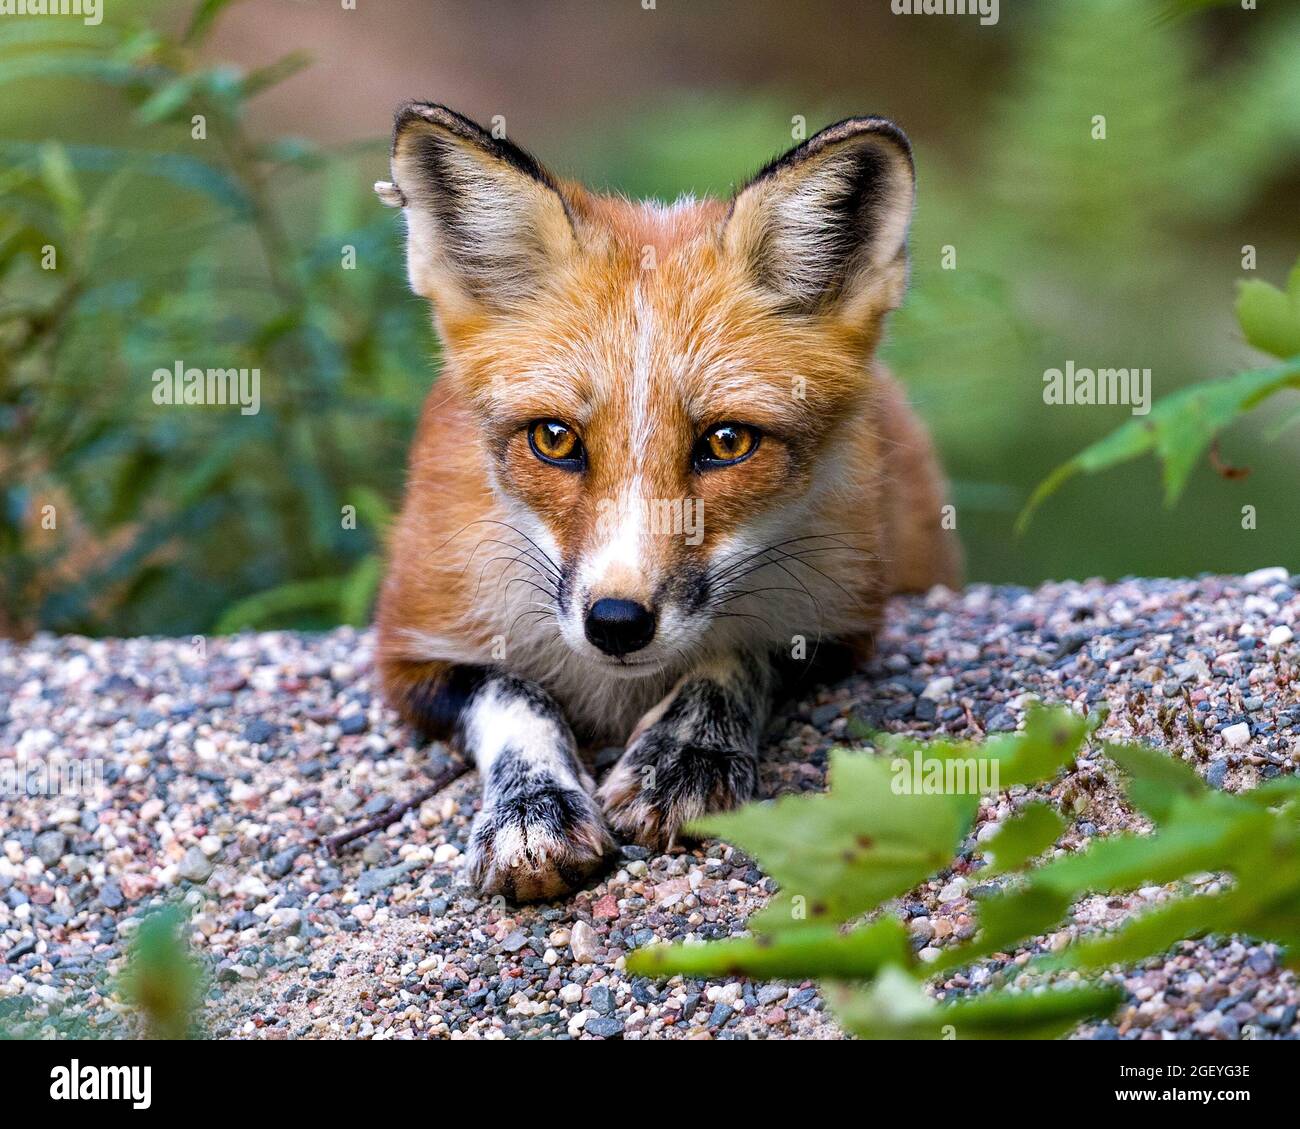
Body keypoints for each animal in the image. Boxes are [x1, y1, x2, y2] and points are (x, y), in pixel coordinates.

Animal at [373, 103, 961, 902]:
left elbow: (733, 659)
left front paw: (682, 755)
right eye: (554, 438)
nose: (616, 623)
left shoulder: (843, 617)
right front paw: (533, 807)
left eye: (727, 442)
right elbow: (516, 697)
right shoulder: (412, 645)